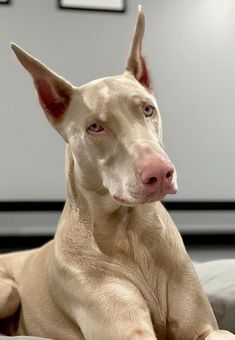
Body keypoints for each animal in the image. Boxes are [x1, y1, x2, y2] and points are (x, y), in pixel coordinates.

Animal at [0, 5, 235, 340]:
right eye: (95, 127)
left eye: (148, 109)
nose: (160, 173)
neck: (131, 232)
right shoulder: (129, 331)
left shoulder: (203, 327)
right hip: (7, 290)